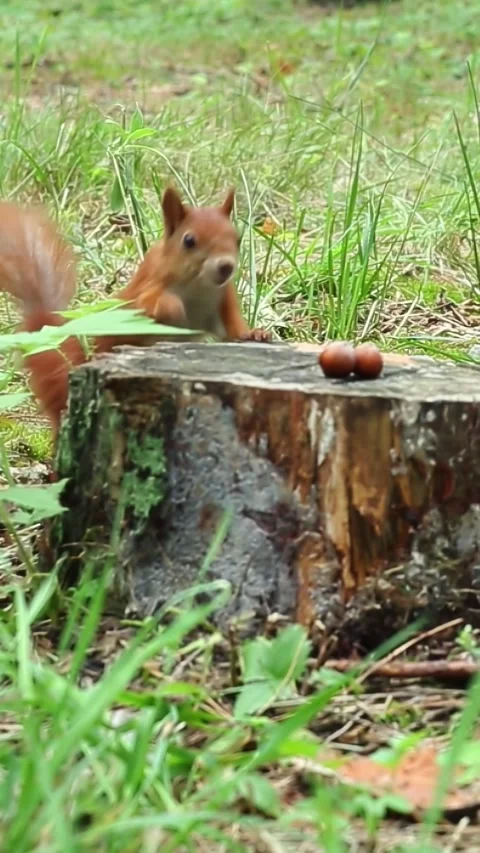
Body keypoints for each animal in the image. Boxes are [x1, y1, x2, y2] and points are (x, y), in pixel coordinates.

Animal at [0, 187, 270, 439]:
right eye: (189, 240)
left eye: (237, 239)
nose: (226, 266)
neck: (198, 286)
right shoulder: (146, 288)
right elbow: (148, 304)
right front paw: (174, 309)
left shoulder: (223, 299)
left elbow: (232, 328)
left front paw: (255, 334)